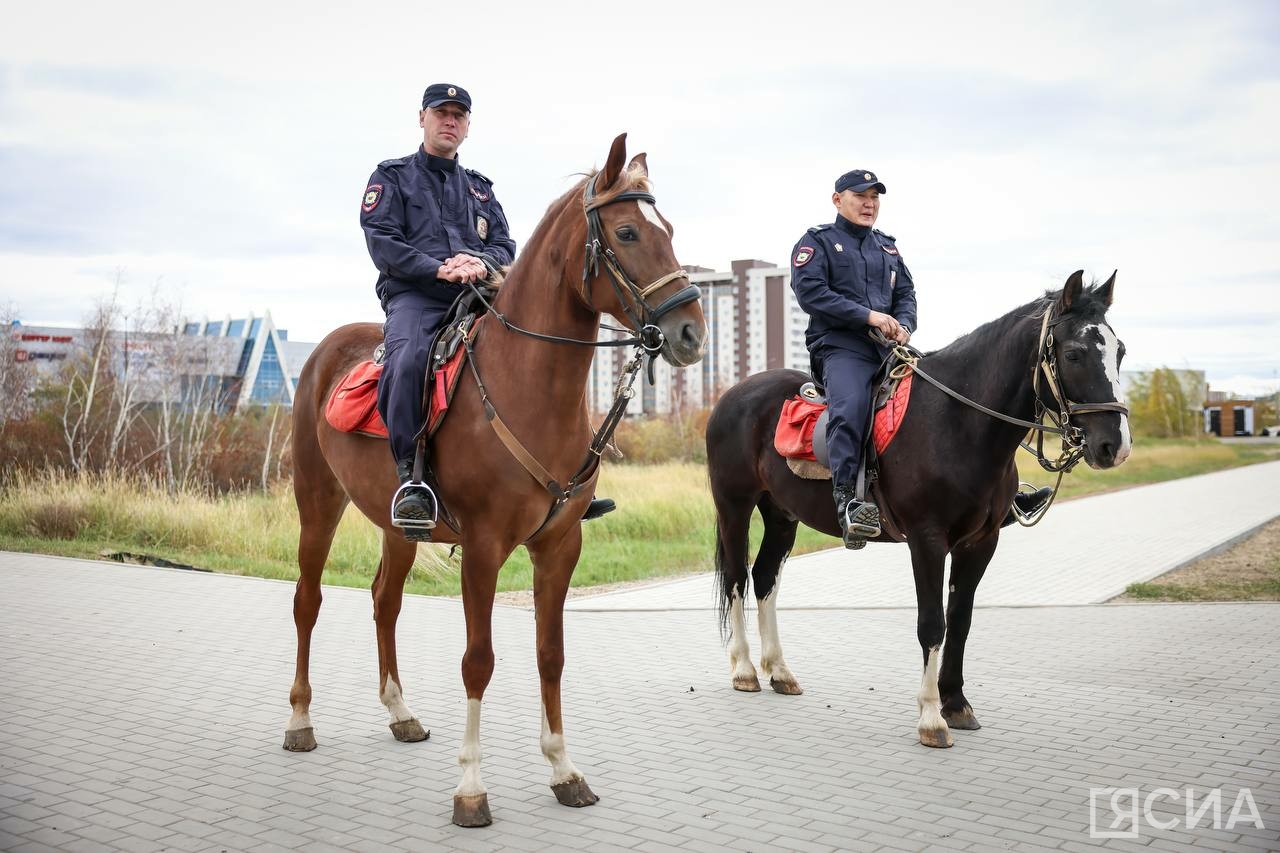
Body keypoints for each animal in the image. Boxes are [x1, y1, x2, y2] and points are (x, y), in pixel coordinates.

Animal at [286, 134, 711, 824]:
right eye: (626, 232)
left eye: (668, 230)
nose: (691, 332)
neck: (526, 385)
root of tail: (326, 350)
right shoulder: (483, 549)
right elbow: (478, 662)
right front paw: (470, 787)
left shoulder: (560, 546)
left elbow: (550, 655)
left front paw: (564, 770)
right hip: (317, 503)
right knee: (308, 600)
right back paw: (299, 720)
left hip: (399, 526)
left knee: (383, 600)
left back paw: (400, 712)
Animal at [711, 272, 1131, 742]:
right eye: (1074, 354)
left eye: (1120, 351)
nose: (1114, 445)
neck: (957, 422)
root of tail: (733, 394)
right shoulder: (927, 541)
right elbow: (933, 622)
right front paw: (931, 716)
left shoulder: (980, 543)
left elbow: (960, 622)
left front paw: (957, 704)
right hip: (734, 507)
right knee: (736, 579)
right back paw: (745, 670)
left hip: (782, 516)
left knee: (765, 578)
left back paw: (780, 672)